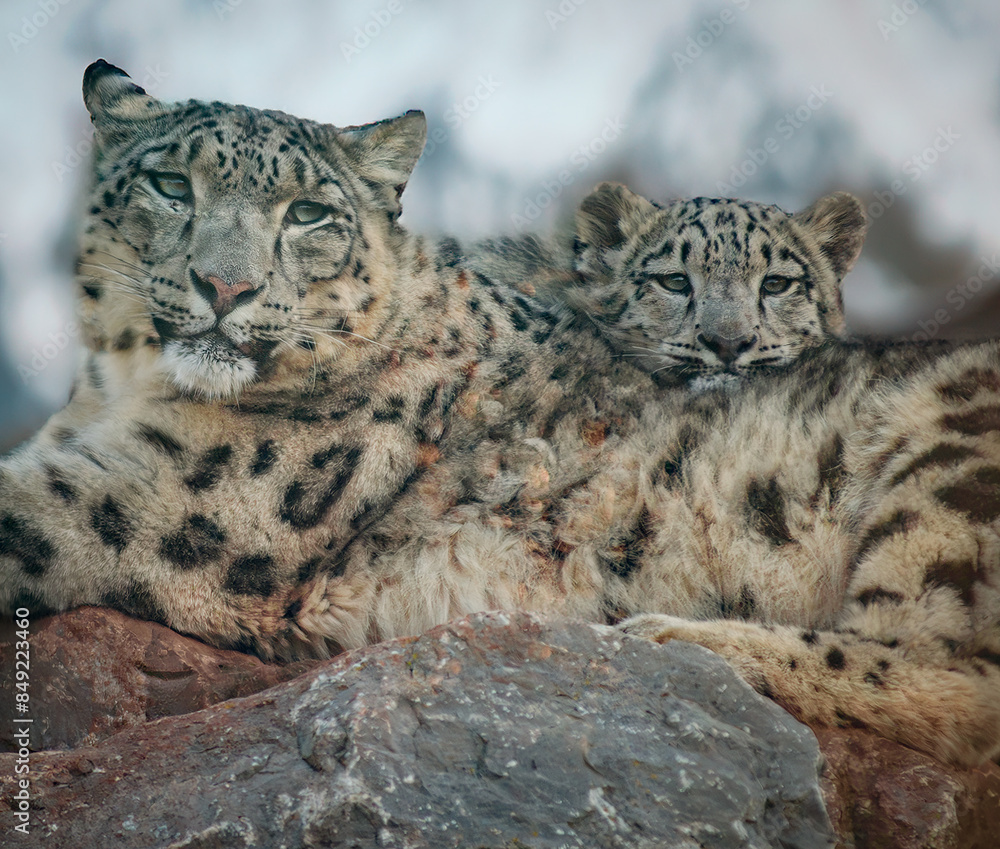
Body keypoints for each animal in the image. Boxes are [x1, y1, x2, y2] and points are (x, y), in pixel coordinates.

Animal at [539, 181, 1000, 767]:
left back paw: (666, 633)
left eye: (777, 283)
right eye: (674, 280)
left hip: (946, 468)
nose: (728, 342)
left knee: (938, 669)